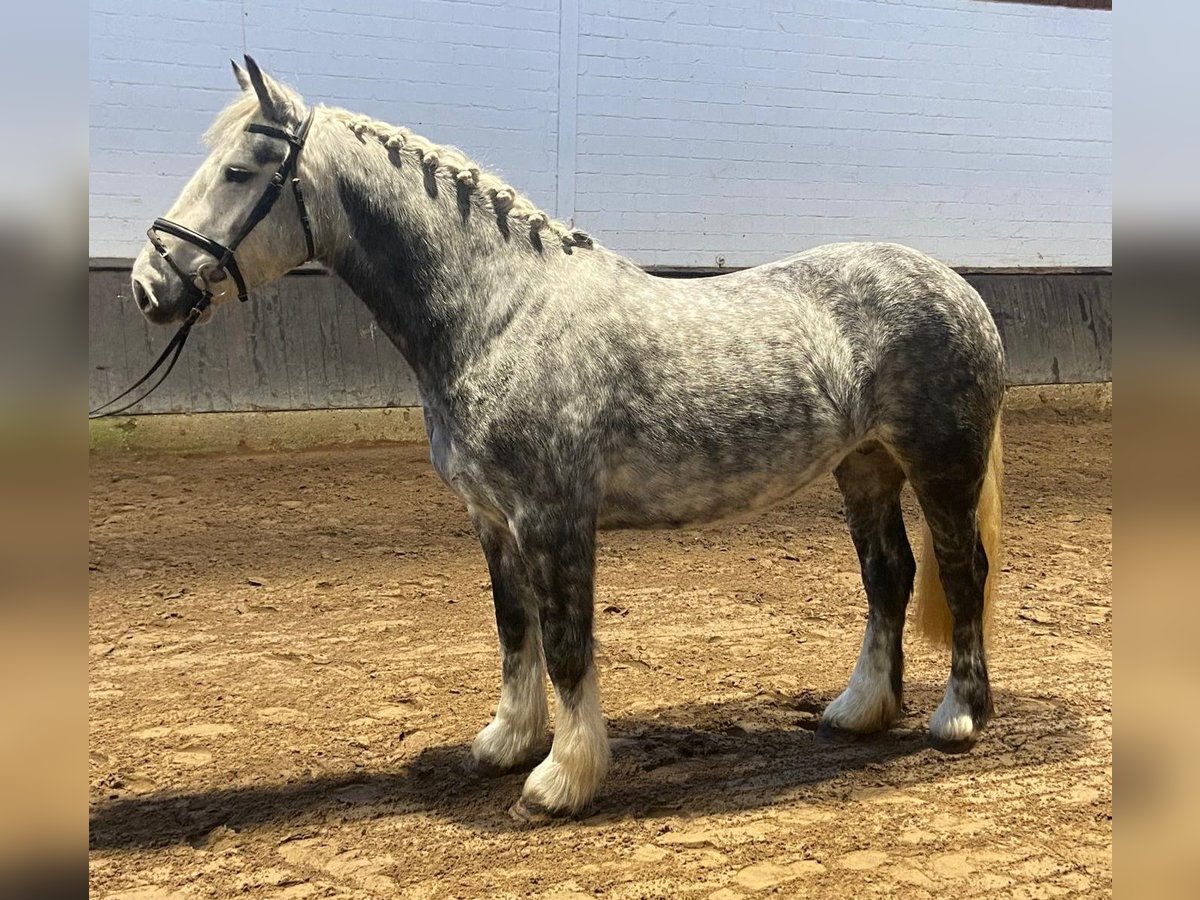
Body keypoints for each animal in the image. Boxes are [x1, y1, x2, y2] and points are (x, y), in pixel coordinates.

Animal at [126, 58, 1003, 825]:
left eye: (241, 171)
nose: (148, 285)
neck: (500, 312)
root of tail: (956, 287)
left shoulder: (554, 520)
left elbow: (567, 645)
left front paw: (562, 781)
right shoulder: (492, 519)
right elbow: (515, 630)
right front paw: (509, 743)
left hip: (941, 468)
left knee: (962, 574)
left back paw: (958, 717)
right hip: (865, 469)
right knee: (889, 576)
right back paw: (859, 709)